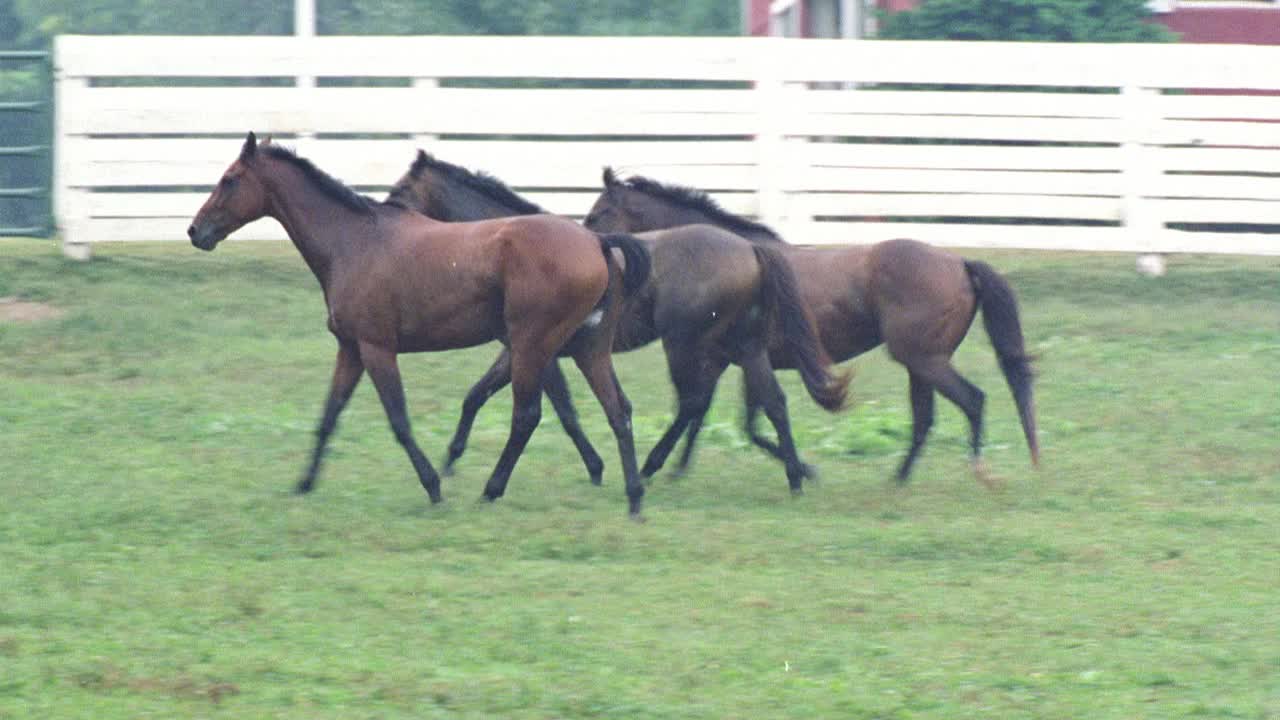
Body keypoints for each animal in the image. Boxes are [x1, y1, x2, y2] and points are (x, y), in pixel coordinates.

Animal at [185, 133, 655, 515]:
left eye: (230, 179)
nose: (195, 231)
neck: (353, 242)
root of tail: (596, 241)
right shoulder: (351, 349)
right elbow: (329, 415)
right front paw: (303, 483)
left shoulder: (377, 348)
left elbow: (399, 420)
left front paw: (433, 486)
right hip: (585, 349)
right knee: (619, 410)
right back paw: (633, 497)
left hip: (533, 346)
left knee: (527, 417)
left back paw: (492, 490)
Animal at [386, 148, 849, 489]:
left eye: (403, 187)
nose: (386, 210)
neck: (504, 247)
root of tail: (749, 248)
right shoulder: (526, 350)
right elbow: (478, 396)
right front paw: (450, 459)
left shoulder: (534, 351)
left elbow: (559, 410)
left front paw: (595, 467)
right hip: (743, 345)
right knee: (772, 401)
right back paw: (795, 475)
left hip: (687, 344)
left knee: (695, 401)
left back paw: (655, 466)